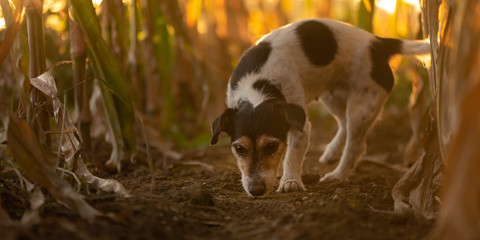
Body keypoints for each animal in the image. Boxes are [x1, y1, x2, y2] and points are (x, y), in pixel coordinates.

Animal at [210, 18, 432, 195]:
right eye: (239, 149)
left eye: (272, 146)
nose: (255, 190)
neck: (258, 83)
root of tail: (378, 43)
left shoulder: (301, 126)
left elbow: (292, 156)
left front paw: (290, 181)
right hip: (332, 98)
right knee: (344, 124)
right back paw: (331, 152)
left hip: (362, 105)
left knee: (355, 144)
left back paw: (338, 174)